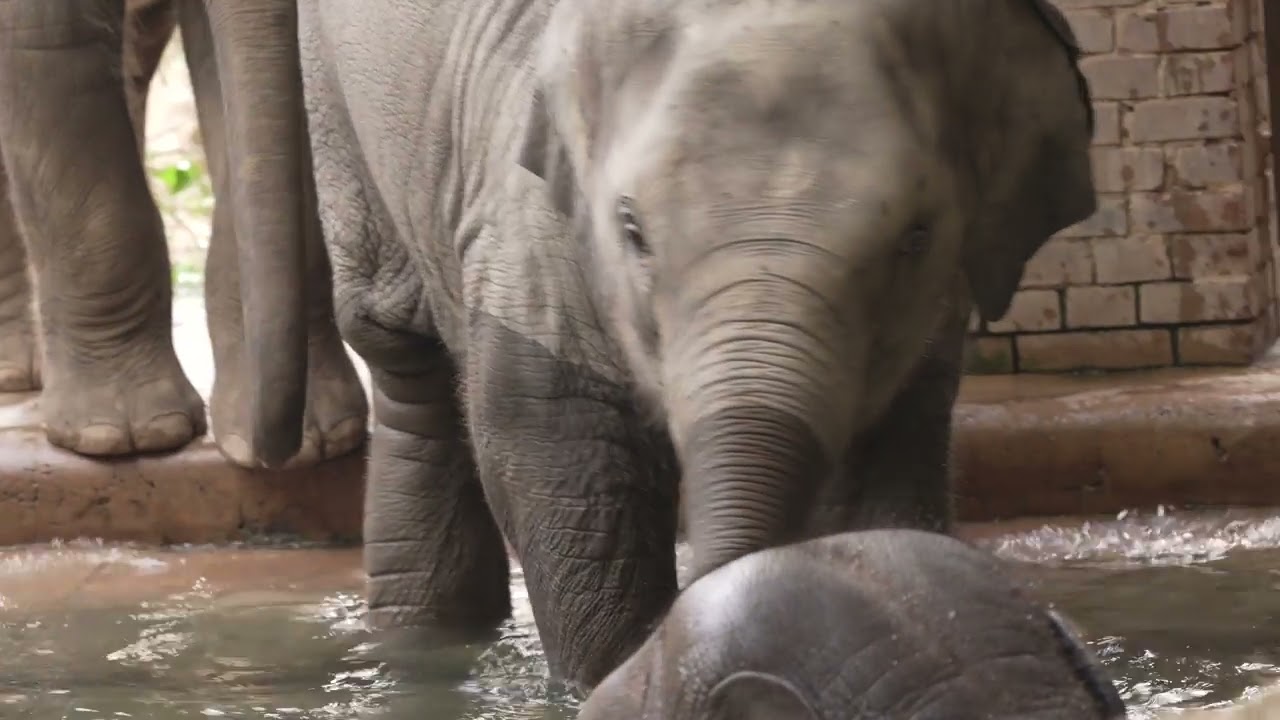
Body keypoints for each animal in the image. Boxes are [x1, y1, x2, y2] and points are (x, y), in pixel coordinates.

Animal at [222, 0, 1096, 690]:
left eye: (916, 238)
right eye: (632, 230)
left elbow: (881, 480)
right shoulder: (534, 220)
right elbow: (564, 464)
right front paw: (611, 676)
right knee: (408, 360)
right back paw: (424, 645)